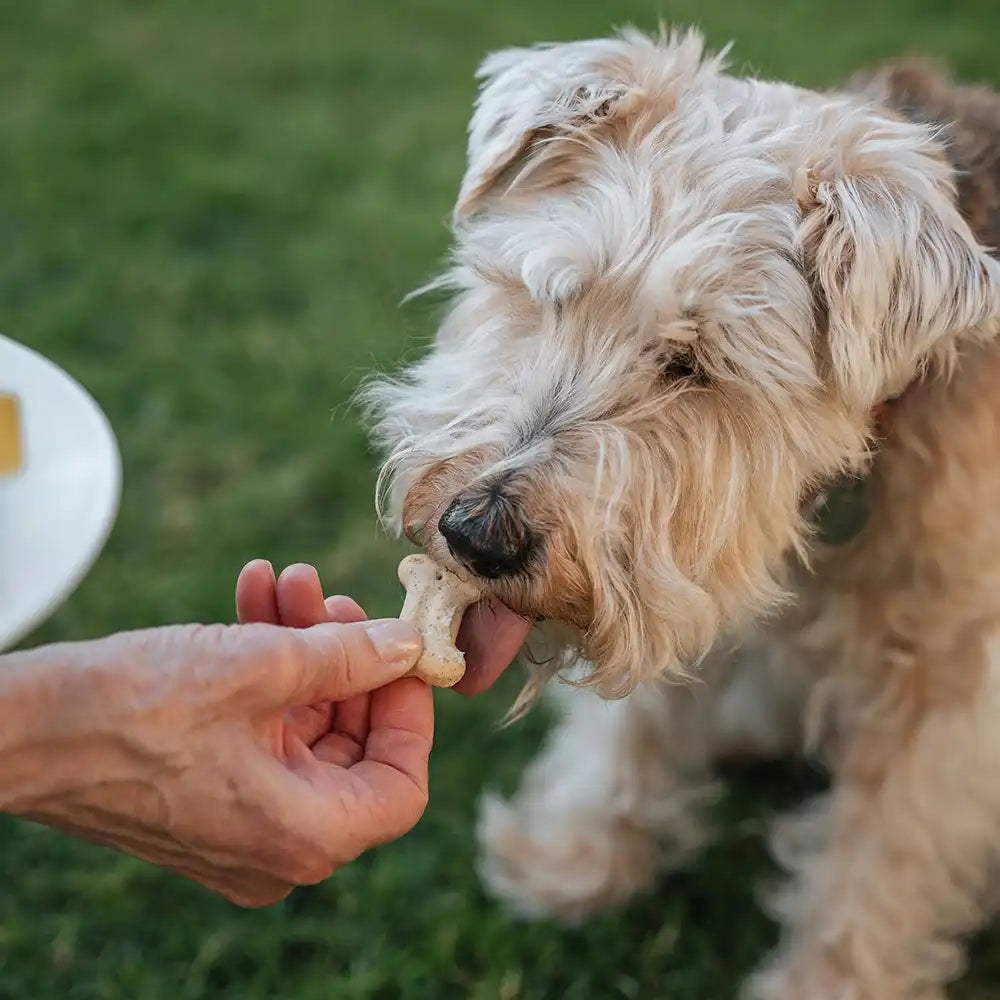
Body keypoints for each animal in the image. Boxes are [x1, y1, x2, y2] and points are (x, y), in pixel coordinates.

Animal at [364, 29, 1000, 1000]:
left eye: (692, 364)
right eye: (553, 295)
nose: (476, 536)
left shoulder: (948, 689)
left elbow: (882, 857)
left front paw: (826, 981)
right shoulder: (681, 565)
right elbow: (632, 723)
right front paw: (575, 854)